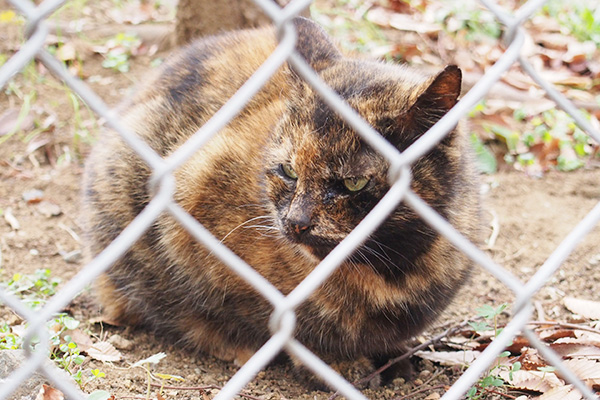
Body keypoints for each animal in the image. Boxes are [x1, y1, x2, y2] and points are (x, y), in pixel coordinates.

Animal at [83, 18, 478, 388]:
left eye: (353, 183)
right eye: (288, 171)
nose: (296, 221)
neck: (390, 270)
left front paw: (393, 354)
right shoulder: (192, 200)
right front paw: (334, 364)